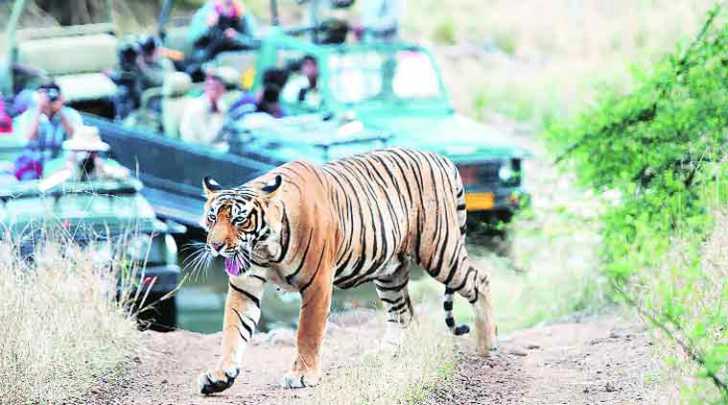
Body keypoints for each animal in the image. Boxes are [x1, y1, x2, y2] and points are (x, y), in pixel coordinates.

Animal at [196, 147, 498, 392]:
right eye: (212, 217)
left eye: (239, 220)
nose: (216, 246)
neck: (265, 249)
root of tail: (442, 158)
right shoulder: (244, 286)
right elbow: (234, 329)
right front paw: (220, 376)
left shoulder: (317, 283)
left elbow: (307, 332)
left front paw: (302, 375)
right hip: (390, 271)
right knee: (402, 312)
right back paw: (387, 355)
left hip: (439, 251)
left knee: (480, 280)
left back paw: (487, 345)